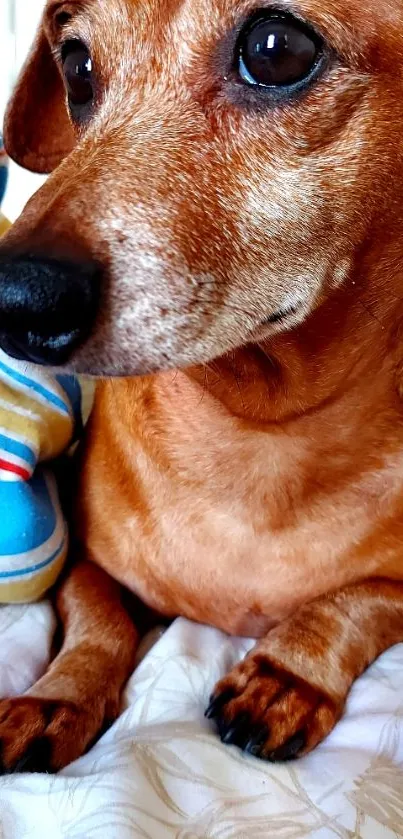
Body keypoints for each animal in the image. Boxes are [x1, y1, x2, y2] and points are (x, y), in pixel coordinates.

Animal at [0, 0, 403, 776]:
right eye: (77, 69)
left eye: (276, 49)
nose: (13, 299)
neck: (261, 438)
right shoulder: (81, 563)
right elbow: (98, 619)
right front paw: (58, 696)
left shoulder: (396, 586)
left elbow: (357, 599)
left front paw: (286, 675)